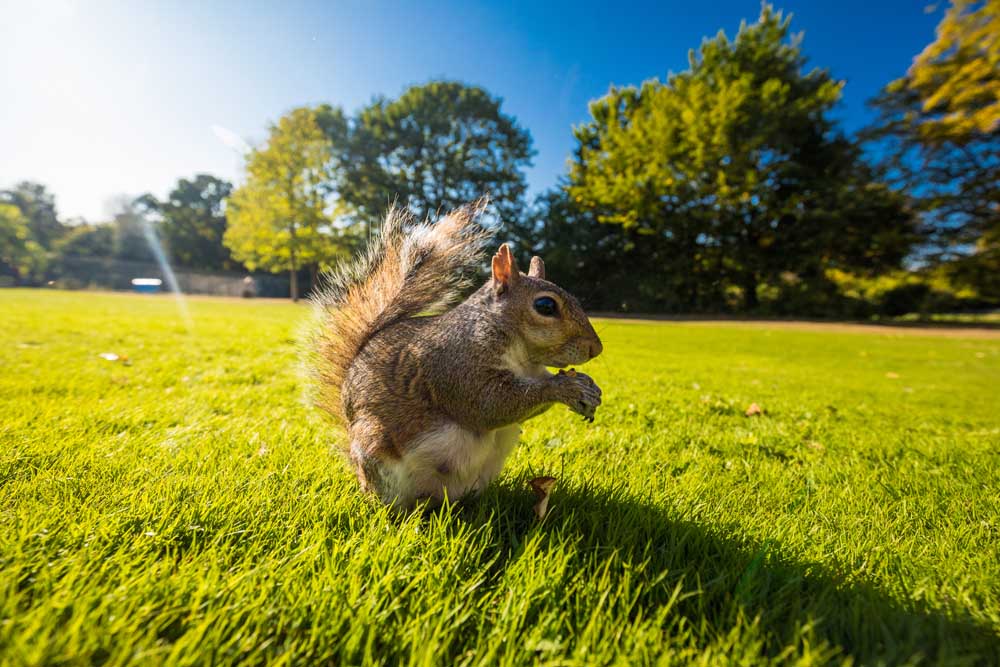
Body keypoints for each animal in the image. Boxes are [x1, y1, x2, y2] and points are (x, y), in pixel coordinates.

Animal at [310, 201, 600, 508]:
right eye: (545, 306)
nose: (596, 348)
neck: (524, 358)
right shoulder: (454, 364)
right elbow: (490, 403)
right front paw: (564, 387)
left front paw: (589, 389)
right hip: (376, 452)